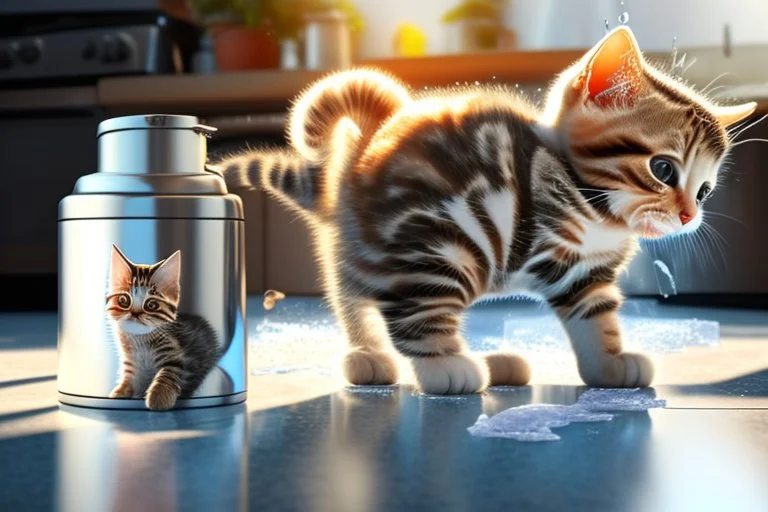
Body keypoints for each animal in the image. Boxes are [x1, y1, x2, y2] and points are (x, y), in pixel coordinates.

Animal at [106, 246, 219, 410]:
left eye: (151, 305)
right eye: (123, 300)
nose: (135, 313)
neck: (140, 342)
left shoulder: (175, 352)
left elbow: (168, 372)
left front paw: (158, 397)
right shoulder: (131, 363)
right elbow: (128, 381)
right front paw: (118, 394)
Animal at [216, 27, 756, 396]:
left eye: (704, 190)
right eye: (663, 169)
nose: (688, 216)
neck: (596, 211)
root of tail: (364, 150)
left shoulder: (587, 276)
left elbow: (596, 320)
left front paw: (609, 364)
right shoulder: (493, 250)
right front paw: (441, 366)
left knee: (350, 289)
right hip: (443, 244)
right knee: (399, 305)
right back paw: (421, 361)